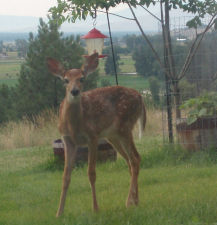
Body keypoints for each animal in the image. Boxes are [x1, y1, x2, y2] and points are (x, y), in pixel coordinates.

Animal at [47, 51, 146, 217]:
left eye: (82, 78)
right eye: (65, 80)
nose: (75, 91)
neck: (74, 125)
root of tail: (140, 97)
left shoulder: (92, 136)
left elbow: (91, 173)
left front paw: (95, 208)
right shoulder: (67, 140)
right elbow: (65, 176)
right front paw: (59, 213)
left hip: (125, 127)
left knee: (135, 158)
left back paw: (128, 202)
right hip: (113, 136)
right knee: (130, 161)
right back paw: (136, 201)